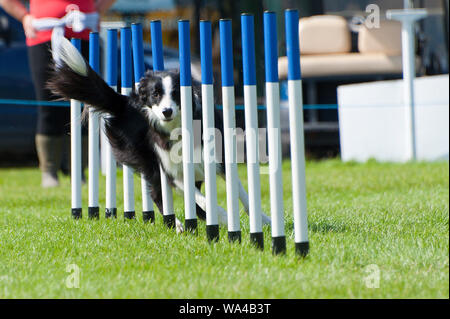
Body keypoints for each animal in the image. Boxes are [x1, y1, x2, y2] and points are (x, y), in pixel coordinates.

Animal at [48, 38, 270, 232]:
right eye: (155, 94)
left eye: (175, 94)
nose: (167, 111)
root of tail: (125, 103)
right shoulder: (173, 172)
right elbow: (200, 198)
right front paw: (223, 216)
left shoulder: (217, 159)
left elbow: (240, 191)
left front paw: (263, 219)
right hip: (150, 162)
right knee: (158, 194)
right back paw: (178, 224)